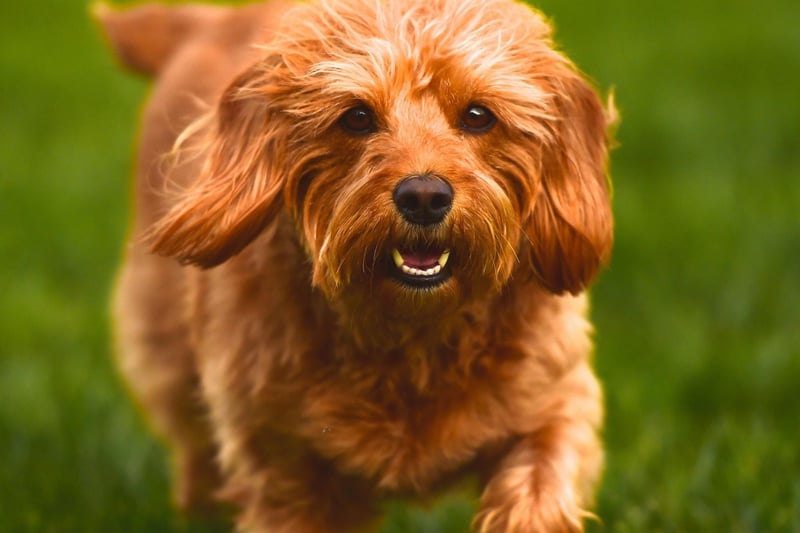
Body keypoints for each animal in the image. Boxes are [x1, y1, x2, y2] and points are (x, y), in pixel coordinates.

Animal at [97, 0, 616, 528]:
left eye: (477, 116)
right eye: (357, 117)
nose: (424, 197)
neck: (413, 336)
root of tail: (207, 22)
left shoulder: (557, 404)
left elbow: (538, 487)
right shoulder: (280, 462)